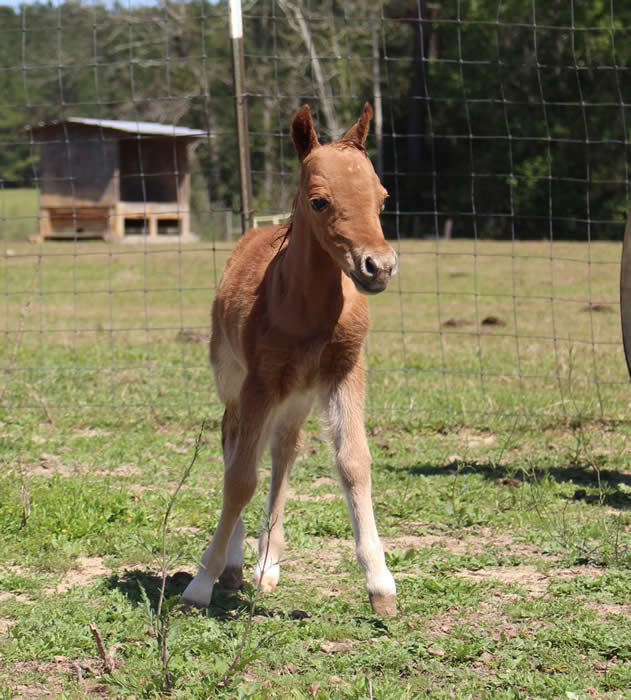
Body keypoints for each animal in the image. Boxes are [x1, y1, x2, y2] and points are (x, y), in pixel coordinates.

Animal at [183, 101, 398, 616]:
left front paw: (380, 584)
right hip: (237, 382)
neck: (306, 308)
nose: (378, 268)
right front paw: (201, 581)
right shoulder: (260, 382)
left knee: (283, 450)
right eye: (319, 200)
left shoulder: (345, 373)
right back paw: (234, 564)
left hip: (297, 395)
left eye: (382, 199)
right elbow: (240, 478)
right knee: (234, 442)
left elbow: (354, 462)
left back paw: (266, 565)